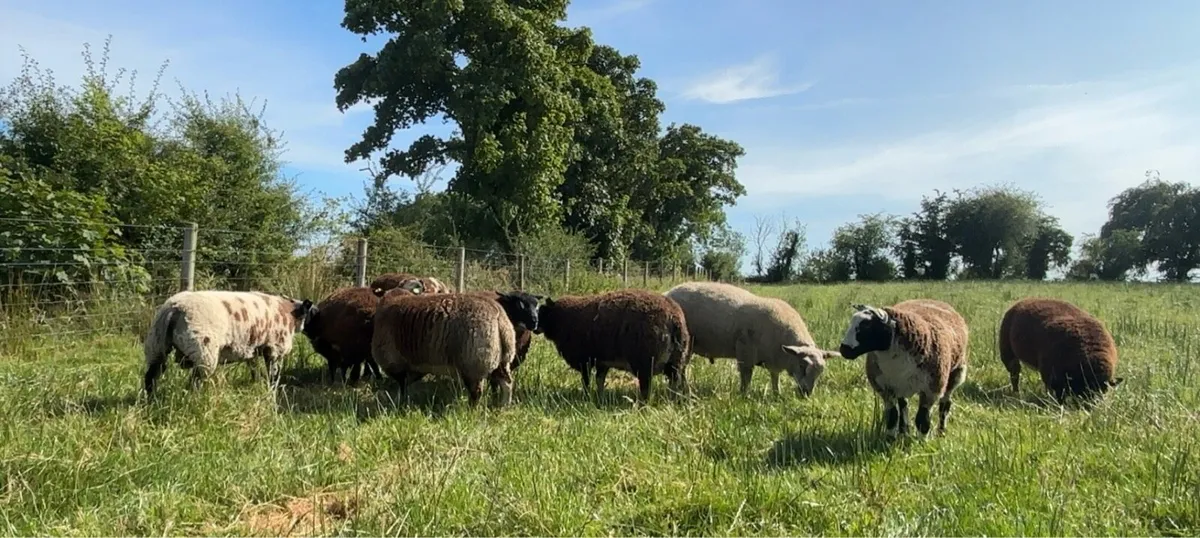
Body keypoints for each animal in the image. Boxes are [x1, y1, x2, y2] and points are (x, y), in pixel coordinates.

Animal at [143, 290, 315, 396]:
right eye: (311, 313)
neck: (289, 313)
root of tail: (174, 308)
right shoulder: (275, 349)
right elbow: (274, 374)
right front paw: (272, 388)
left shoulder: (251, 349)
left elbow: (254, 368)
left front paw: (255, 383)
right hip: (203, 350)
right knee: (194, 382)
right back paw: (194, 400)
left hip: (156, 344)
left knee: (151, 376)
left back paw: (151, 400)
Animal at [371, 290, 516, 407]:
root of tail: (499, 318)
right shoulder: (414, 366)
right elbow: (407, 383)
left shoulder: (394, 362)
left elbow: (402, 386)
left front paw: (399, 404)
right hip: (501, 359)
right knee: (507, 383)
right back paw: (504, 406)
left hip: (473, 364)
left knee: (476, 392)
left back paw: (471, 410)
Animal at [534, 288, 691, 402]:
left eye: (542, 311)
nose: (534, 328)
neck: (561, 318)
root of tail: (674, 319)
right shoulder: (602, 362)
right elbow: (599, 380)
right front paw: (599, 398)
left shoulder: (585, 360)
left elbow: (586, 381)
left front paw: (586, 396)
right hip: (675, 362)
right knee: (674, 384)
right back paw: (671, 401)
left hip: (645, 362)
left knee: (646, 388)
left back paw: (643, 405)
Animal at [664, 281, 840, 397]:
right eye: (803, 365)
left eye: (821, 372)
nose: (806, 394)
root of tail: (668, 292)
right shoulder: (745, 350)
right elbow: (746, 376)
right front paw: (744, 395)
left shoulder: (774, 359)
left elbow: (774, 377)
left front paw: (777, 394)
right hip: (684, 343)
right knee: (680, 368)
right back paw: (683, 389)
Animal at [838, 299, 969, 437]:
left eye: (867, 327)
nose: (844, 350)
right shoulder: (886, 388)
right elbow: (892, 416)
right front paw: (890, 438)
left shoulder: (931, 389)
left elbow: (922, 419)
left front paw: (922, 440)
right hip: (901, 384)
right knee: (903, 405)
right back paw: (903, 431)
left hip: (955, 373)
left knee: (945, 405)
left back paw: (941, 432)